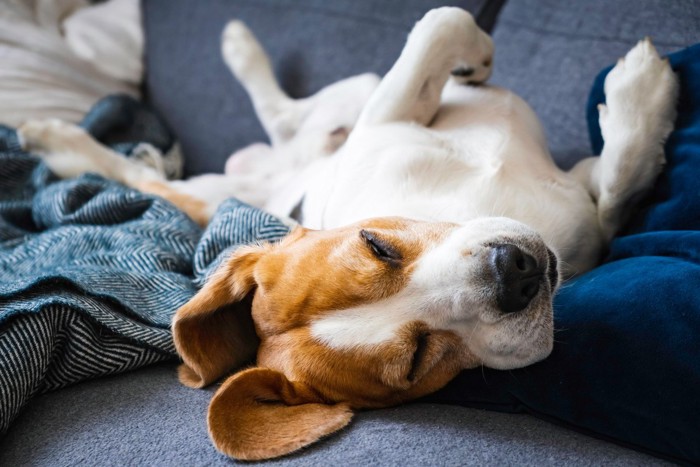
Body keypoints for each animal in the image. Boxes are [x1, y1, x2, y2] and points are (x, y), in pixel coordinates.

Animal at [19, 6, 680, 460]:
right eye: (417, 362)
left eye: (375, 244)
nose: (514, 274)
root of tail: (270, 177)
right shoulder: (586, 229)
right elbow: (615, 196)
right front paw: (644, 99)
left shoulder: (392, 116)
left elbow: (443, 23)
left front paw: (629, 99)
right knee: (148, 175)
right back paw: (59, 142)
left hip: (354, 93)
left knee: (285, 116)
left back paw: (236, 50)